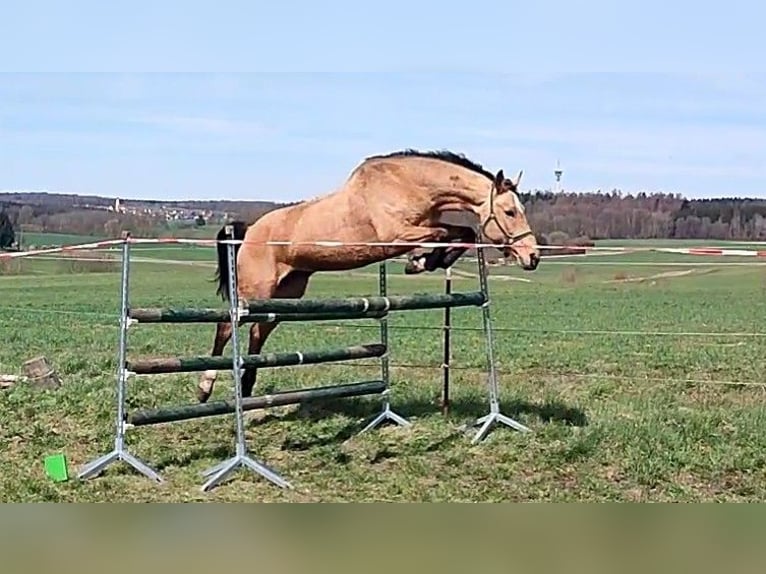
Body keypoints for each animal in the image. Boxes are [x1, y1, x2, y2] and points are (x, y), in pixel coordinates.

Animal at [197, 149, 541, 403]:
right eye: (510, 212)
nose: (532, 258)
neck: (408, 185)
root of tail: (250, 230)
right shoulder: (396, 235)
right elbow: (444, 233)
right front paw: (420, 262)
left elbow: (463, 232)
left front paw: (424, 262)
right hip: (256, 289)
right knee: (227, 325)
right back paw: (205, 388)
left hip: (287, 293)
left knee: (259, 331)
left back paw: (246, 386)